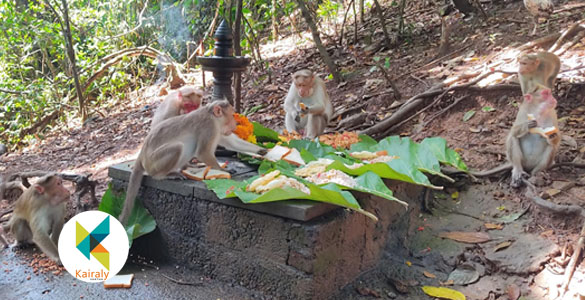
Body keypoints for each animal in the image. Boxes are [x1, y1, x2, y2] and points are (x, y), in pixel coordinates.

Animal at [118, 101, 266, 225]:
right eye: (231, 115)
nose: (235, 124)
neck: (212, 116)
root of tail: (141, 155)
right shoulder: (209, 127)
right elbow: (203, 152)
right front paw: (223, 170)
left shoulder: (218, 130)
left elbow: (232, 143)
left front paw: (263, 151)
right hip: (153, 163)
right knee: (178, 147)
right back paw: (165, 175)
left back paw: (187, 166)